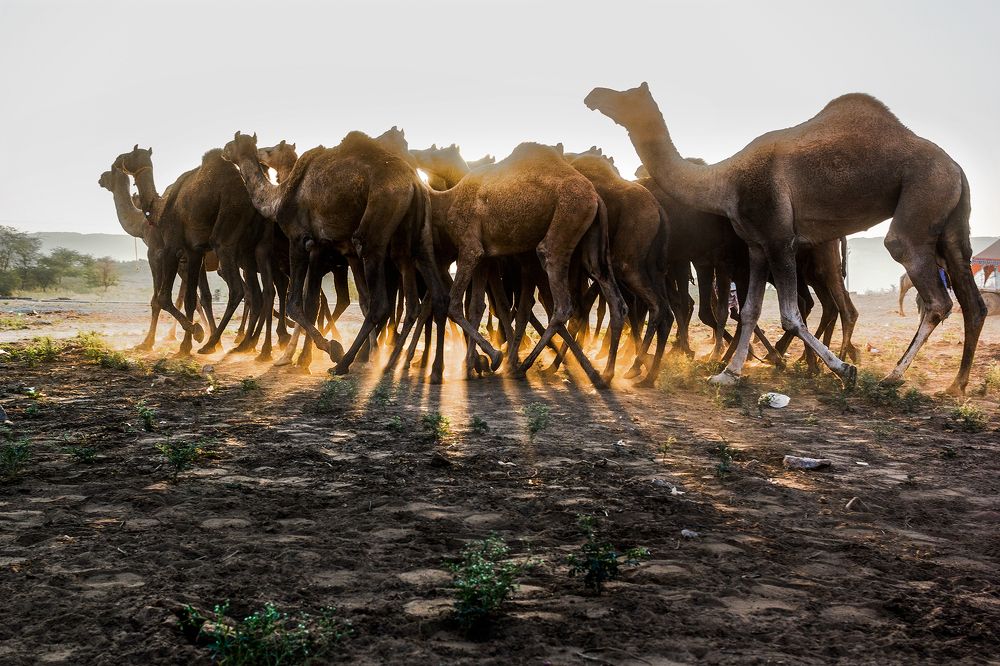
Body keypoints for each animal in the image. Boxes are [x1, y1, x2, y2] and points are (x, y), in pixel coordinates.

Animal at [222, 131, 449, 383]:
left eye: (270, 150)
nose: (223, 150)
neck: (279, 197)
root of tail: (414, 183)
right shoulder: (332, 249)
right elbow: (321, 301)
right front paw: (307, 356)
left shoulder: (302, 240)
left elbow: (298, 303)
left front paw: (328, 349)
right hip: (417, 236)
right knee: (434, 296)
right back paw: (425, 369)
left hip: (376, 223)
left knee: (380, 302)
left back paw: (344, 363)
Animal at [586, 83, 985, 394]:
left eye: (625, 95)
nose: (593, 95)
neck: (724, 182)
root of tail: (956, 167)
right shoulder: (757, 245)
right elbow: (749, 310)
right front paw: (728, 374)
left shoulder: (780, 238)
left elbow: (790, 314)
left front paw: (844, 370)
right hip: (951, 223)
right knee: (972, 302)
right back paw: (956, 384)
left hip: (923, 194)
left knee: (933, 294)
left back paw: (892, 376)